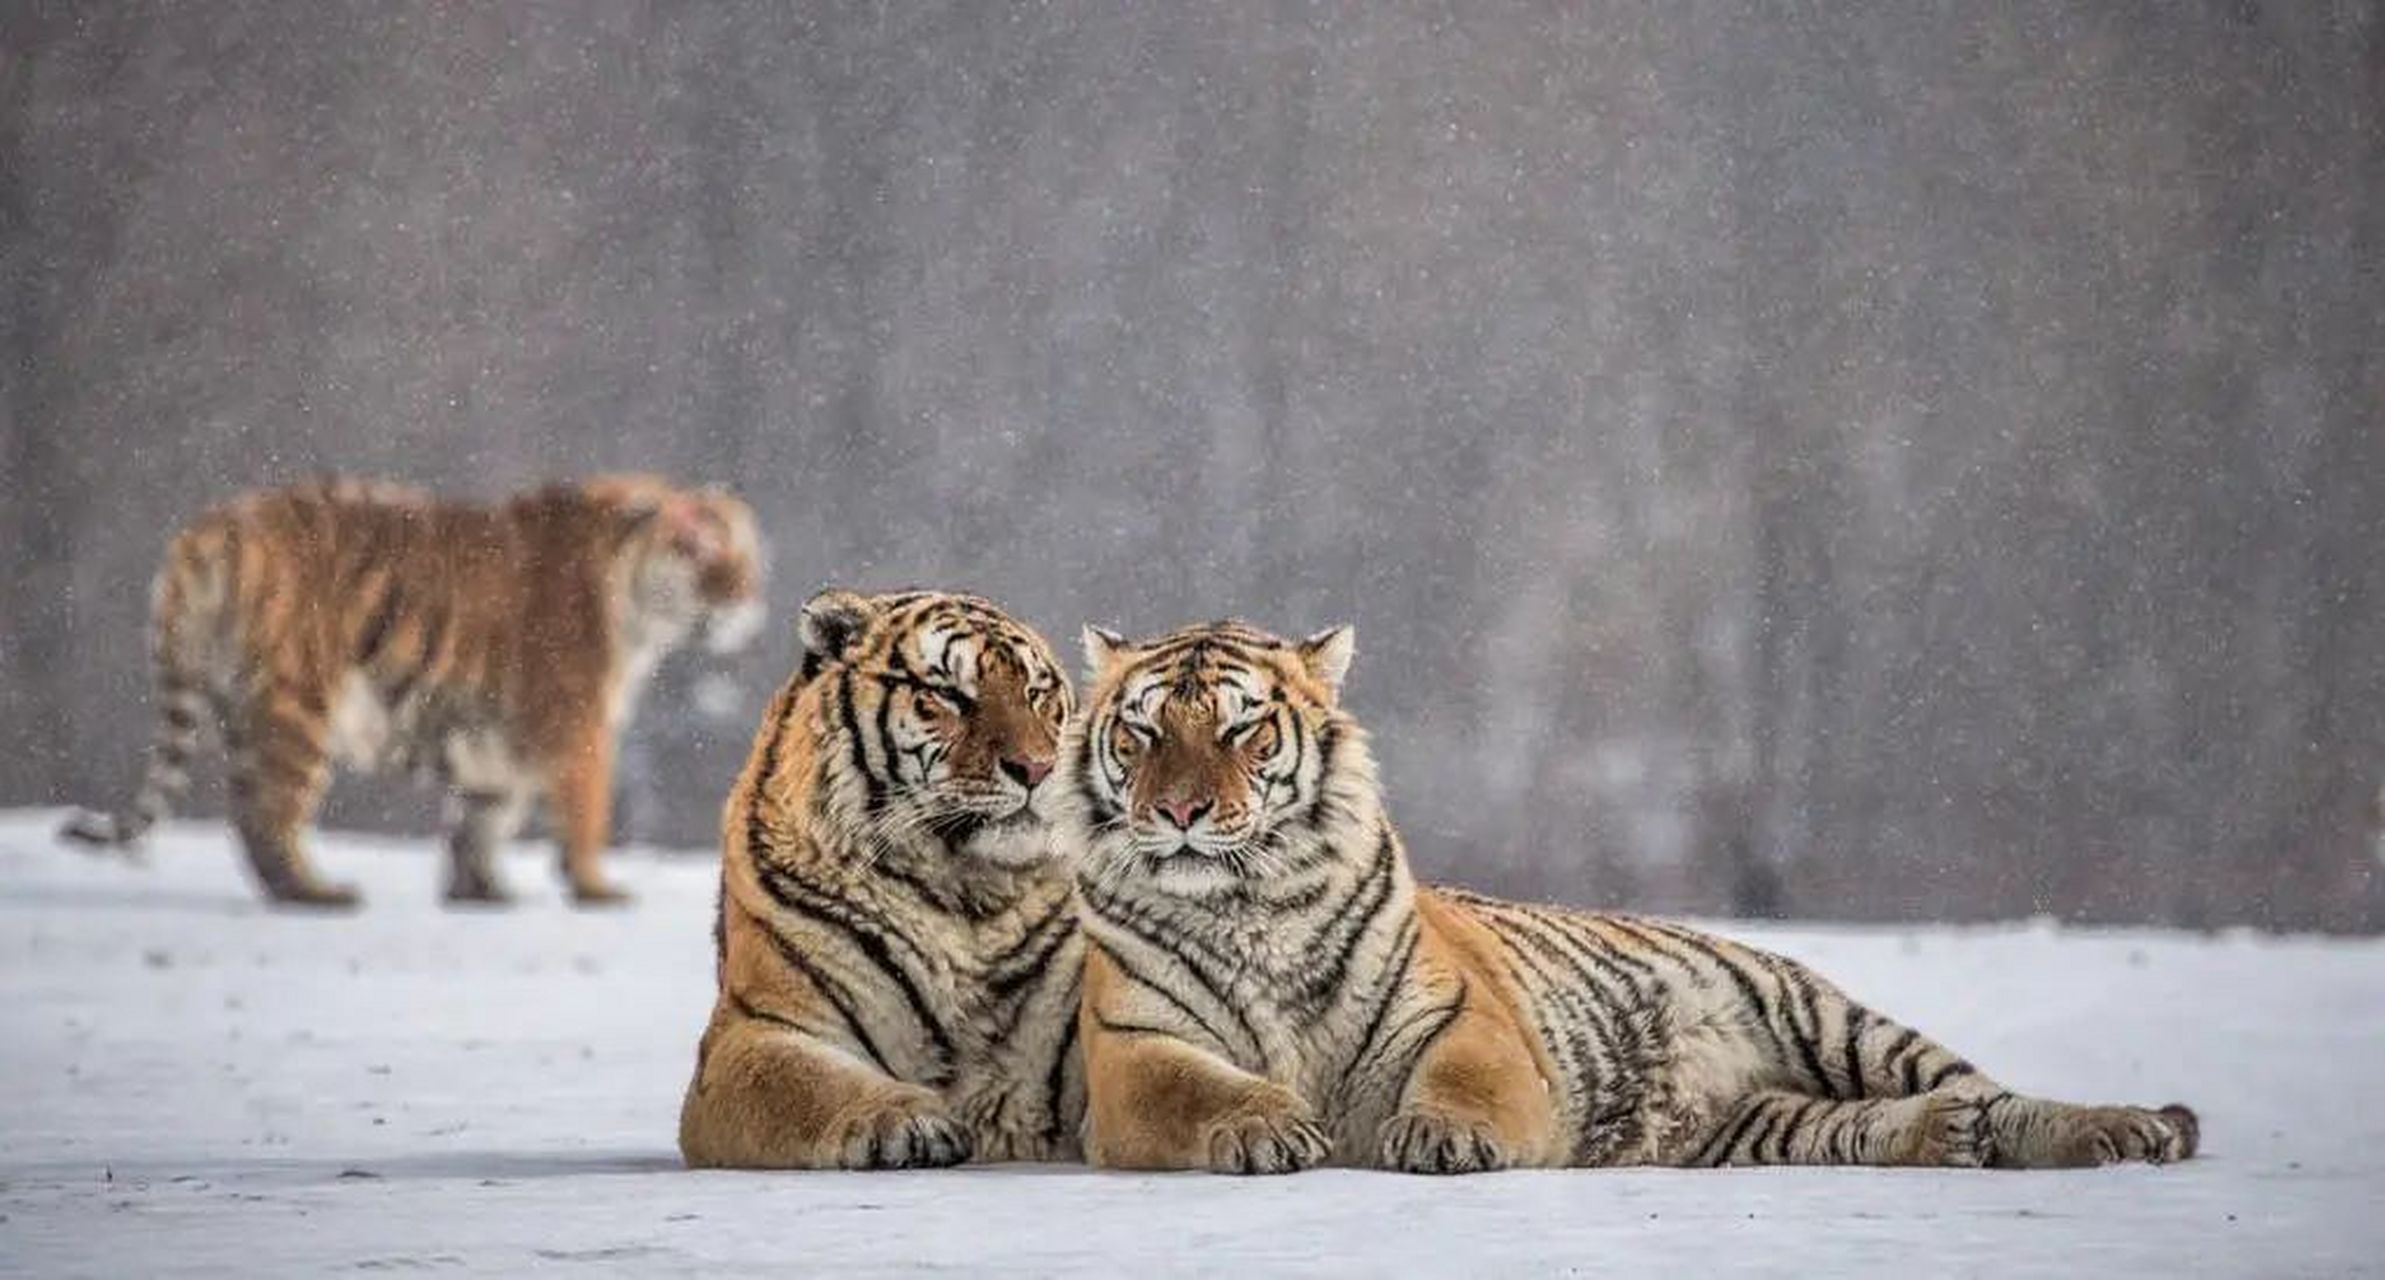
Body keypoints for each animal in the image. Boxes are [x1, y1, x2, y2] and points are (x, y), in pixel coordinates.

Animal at [60, 474, 766, 909]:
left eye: (747, 560)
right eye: (706, 556)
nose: (745, 604)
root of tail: (211, 527)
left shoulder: (493, 744)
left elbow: (480, 821)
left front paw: (481, 894)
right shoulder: (577, 723)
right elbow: (584, 813)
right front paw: (596, 890)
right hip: (298, 705)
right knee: (268, 814)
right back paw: (319, 895)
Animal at [678, 588, 1085, 1169]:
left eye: (1036, 693)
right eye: (948, 694)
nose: (1037, 768)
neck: (963, 898)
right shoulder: (754, 1032)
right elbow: (812, 1084)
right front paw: (908, 1123)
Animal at [1056, 619, 2200, 1175]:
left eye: (1243, 729)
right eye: (1144, 732)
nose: (1184, 810)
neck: (1247, 902)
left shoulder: (1464, 1018)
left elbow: (1461, 1079)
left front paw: (1441, 1138)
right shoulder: (1134, 1046)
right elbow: (1198, 1089)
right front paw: (1266, 1129)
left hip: (1829, 1016)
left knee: (1994, 1089)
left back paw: (2129, 1129)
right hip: (1752, 1123)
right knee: (1872, 1126)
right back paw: (1941, 1137)